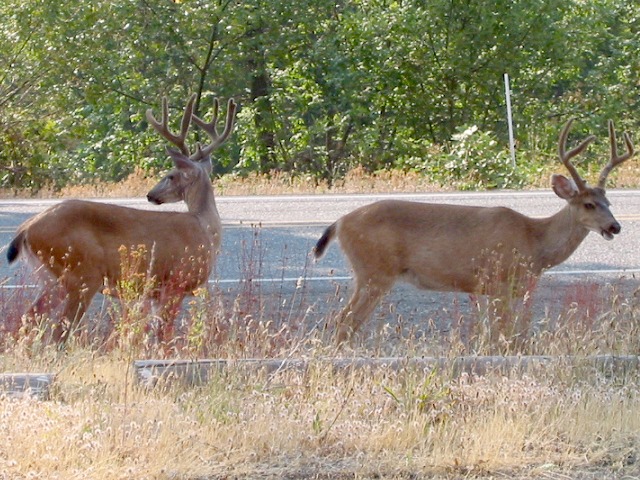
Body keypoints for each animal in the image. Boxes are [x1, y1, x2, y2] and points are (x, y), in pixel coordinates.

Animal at [5, 93, 235, 342]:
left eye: (171, 176)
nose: (150, 195)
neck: (206, 229)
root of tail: (25, 229)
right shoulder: (175, 283)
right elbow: (164, 336)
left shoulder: (158, 292)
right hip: (81, 273)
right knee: (60, 330)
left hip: (52, 279)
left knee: (29, 318)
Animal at [312, 120, 632, 344]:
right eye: (589, 204)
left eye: (609, 202)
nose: (614, 226)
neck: (534, 241)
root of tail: (340, 222)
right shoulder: (500, 280)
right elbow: (505, 335)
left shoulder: (492, 289)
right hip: (374, 271)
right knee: (344, 321)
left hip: (370, 274)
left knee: (345, 322)